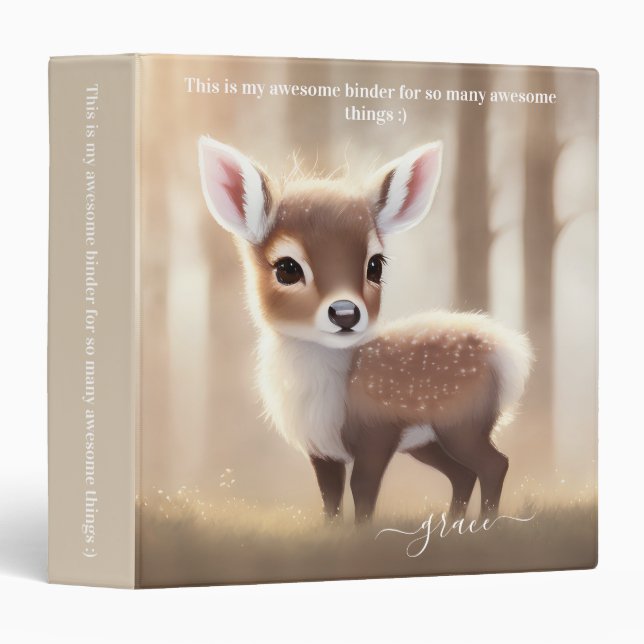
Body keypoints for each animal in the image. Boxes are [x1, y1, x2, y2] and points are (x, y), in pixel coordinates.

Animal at [198, 136, 533, 524]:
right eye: (287, 268)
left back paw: (485, 523)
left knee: (495, 464)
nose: (345, 313)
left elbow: (362, 488)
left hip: (461, 422)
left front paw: (362, 531)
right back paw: (453, 523)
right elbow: (329, 494)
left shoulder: (378, 430)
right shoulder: (321, 447)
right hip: (429, 439)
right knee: (463, 473)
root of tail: (508, 355)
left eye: (375, 265)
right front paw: (332, 531)